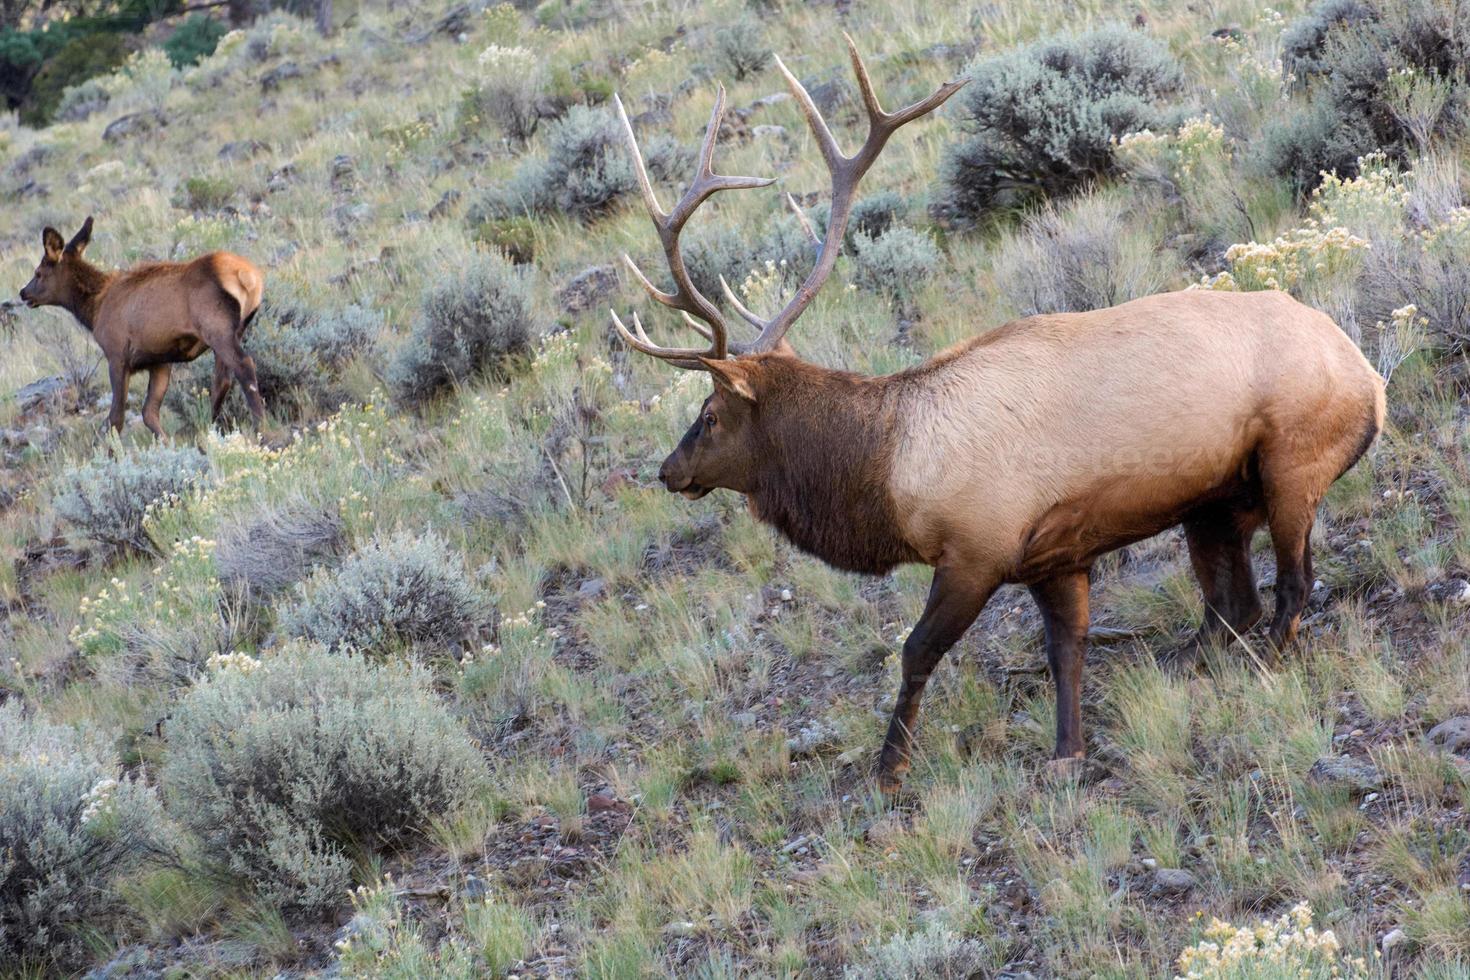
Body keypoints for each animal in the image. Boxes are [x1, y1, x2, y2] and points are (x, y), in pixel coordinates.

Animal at [17, 221, 267, 440]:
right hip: (235, 330)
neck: (93, 309)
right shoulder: (160, 361)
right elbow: (149, 413)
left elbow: (115, 419)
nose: (23, 292)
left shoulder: (117, 354)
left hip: (217, 328)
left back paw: (261, 427)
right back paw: (208, 427)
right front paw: (166, 443)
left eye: (38, 272)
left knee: (244, 365)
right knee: (222, 379)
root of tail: (248, 276)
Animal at [602, 36, 1381, 799]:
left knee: (1291, 587)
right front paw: (1068, 752)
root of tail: (1370, 380)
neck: (885, 469)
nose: (667, 470)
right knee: (1230, 605)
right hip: (1212, 501)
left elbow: (916, 651)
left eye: (709, 414)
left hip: (1292, 461)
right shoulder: (1056, 555)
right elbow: (1066, 650)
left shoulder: (975, 550)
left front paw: (889, 768)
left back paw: (1266, 660)